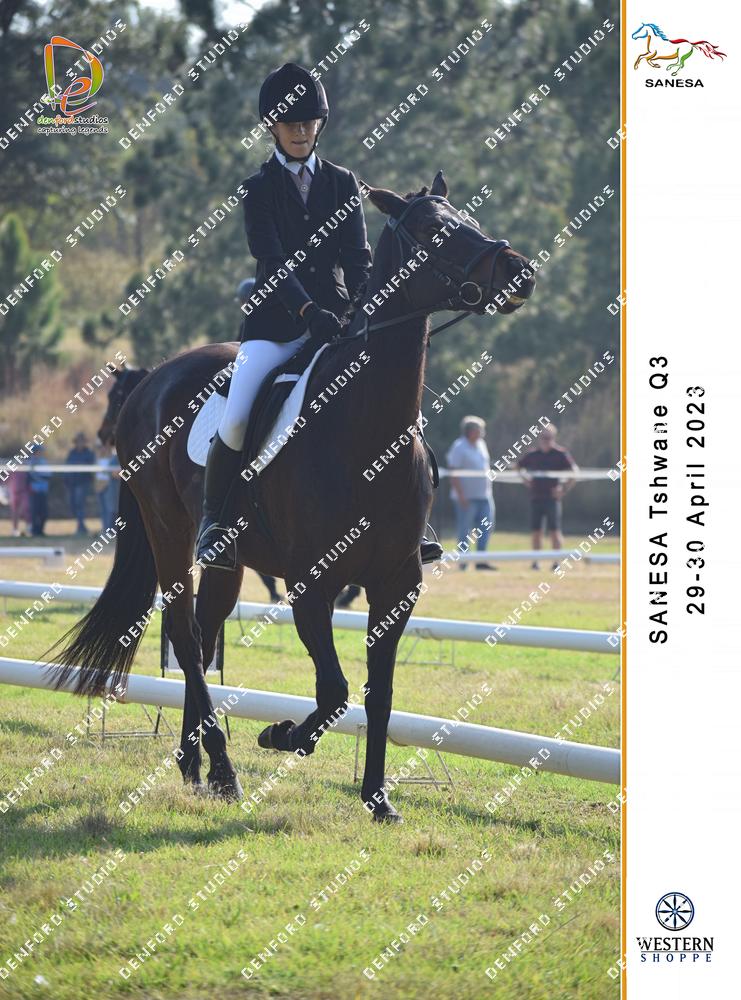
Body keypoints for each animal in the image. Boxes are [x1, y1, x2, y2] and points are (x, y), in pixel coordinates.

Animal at [46, 171, 536, 822]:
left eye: (470, 220)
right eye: (435, 229)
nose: (519, 272)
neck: (364, 431)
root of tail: (152, 381)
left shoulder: (398, 583)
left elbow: (379, 694)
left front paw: (378, 799)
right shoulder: (313, 583)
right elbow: (334, 690)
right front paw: (282, 735)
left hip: (226, 561)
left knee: (203, 634)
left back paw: (197, 766)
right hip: (169, 533)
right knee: (185, 636)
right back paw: (226, 770)